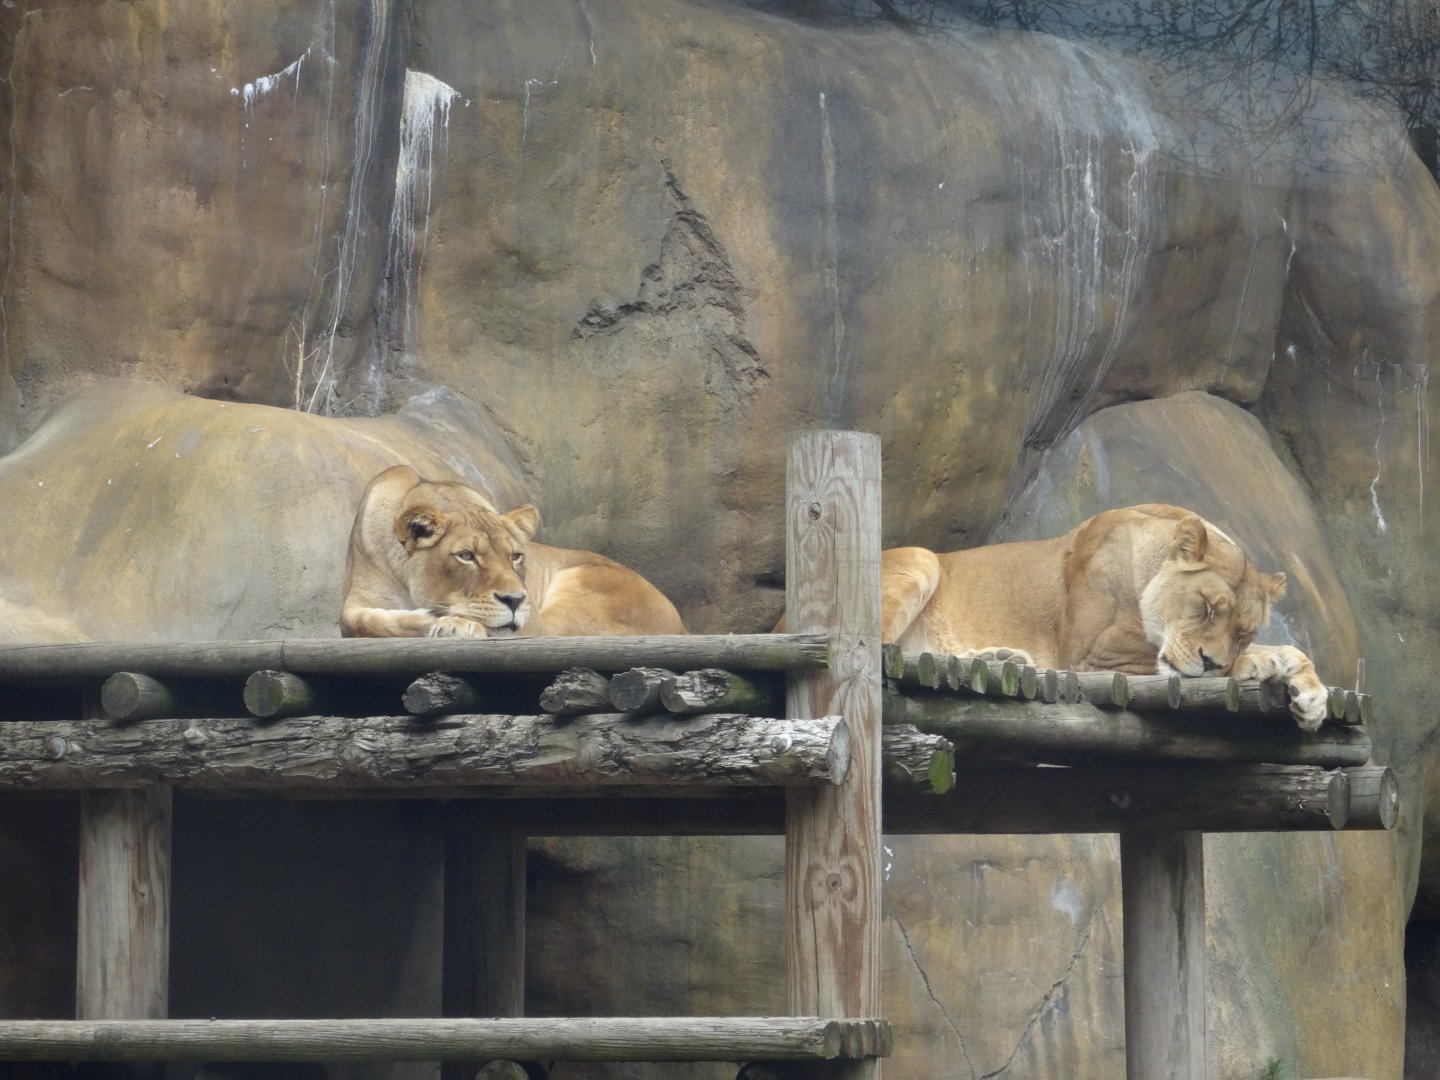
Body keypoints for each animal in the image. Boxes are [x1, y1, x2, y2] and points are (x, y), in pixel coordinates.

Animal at [340, 465, 685, 638]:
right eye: (467, 556)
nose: (515, 600)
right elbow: (359, 619)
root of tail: (682, 625)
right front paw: (441, 619)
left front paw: (453, 622)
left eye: (515, 556)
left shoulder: (534, 621)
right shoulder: (360, 598)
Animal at [797, 503, 1328, 730]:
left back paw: (1000, 660)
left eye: (1242, 632)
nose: (1214, 659)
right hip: (921, 559)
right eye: (1205, 606)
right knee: (879, 651)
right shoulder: (1095, 658)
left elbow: (1290, 650)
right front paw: (1263, 667)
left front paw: (1311, 694)